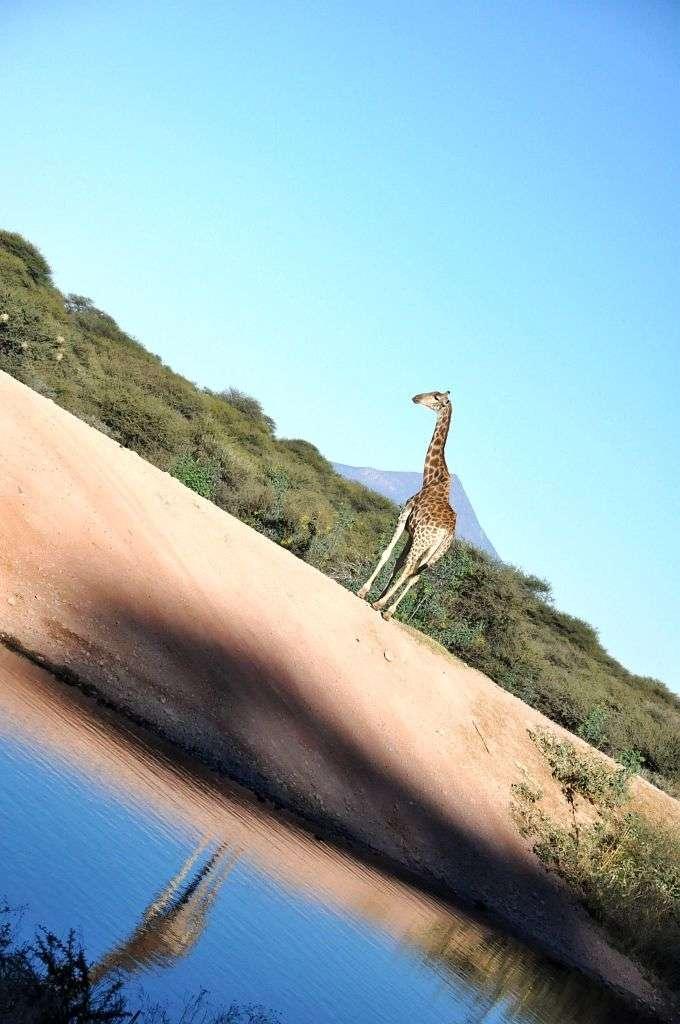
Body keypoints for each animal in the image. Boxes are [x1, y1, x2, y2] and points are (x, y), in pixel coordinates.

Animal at [356, 391, 457, 620]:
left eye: (436, 397)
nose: (417, 397)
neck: (431, 478)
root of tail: (447, 532)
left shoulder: (404, 515)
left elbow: (387, 554)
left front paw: (365, 591)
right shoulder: (412, 534)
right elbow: (398, 562)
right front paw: (380, 595)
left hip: (423, 541)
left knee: (410, 569)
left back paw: (381, 607)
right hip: (434, 552)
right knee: (415, 575)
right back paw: (388, 609)